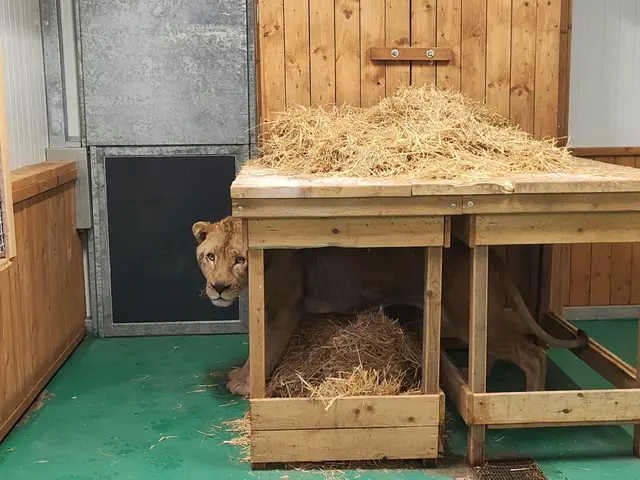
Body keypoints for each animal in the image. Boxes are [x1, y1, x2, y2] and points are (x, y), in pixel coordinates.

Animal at [193, 216, 587, 397]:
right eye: (210, 256)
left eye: (239, 259)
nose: (219, 287)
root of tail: (493, 259)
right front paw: (241, 376)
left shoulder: (284, 311)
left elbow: (267, 349)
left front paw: (245, 383)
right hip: (466, 316)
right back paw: (476, 379)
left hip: (464, 313)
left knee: (533, 352)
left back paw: (531, 399)